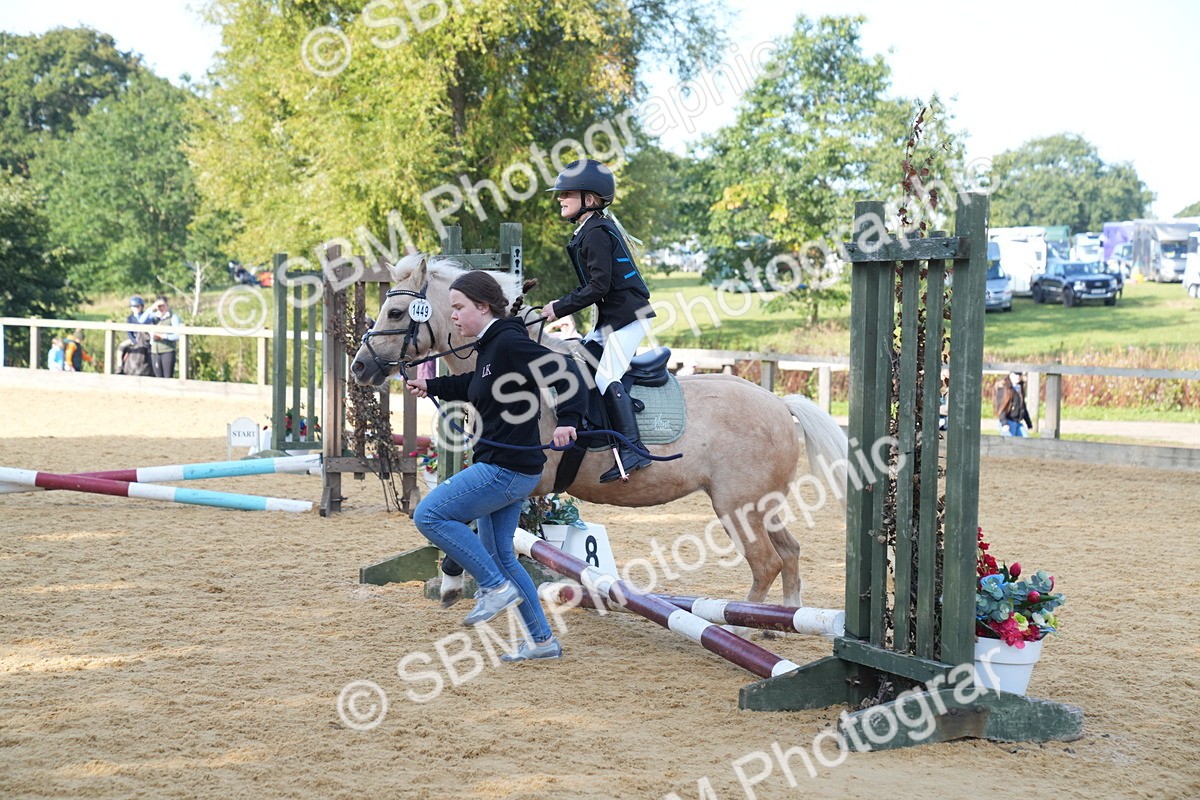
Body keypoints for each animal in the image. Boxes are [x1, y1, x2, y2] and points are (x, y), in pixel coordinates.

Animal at [350, 254, 848, 609]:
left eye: (397, 312)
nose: (359, 368)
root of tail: (781, 404)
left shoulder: (526, 475)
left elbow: (467, 520)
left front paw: (452, 580)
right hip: (763, 505)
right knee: (790, 553)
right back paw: (781, 621)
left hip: (737, 506)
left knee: (765, 564)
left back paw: (745, 625)